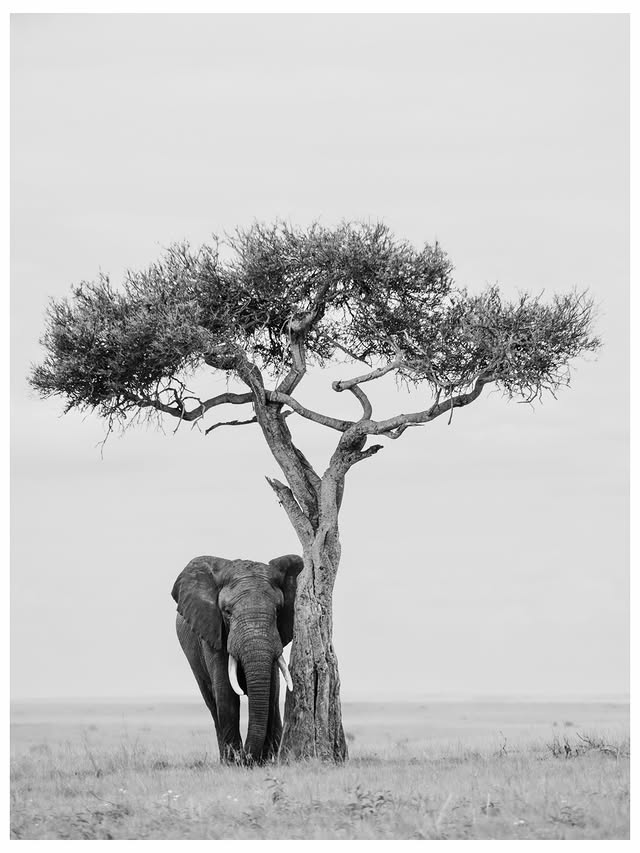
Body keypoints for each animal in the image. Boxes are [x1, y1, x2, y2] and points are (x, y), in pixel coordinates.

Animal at [172, 553, 303, 764]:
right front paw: (236, 763)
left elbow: (272, 691)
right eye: (227, 612)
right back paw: (225, 759)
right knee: (211, 702)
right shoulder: (213, 633)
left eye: (278, 611)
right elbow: (226, 693)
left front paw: (267, 761)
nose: (249, 758)